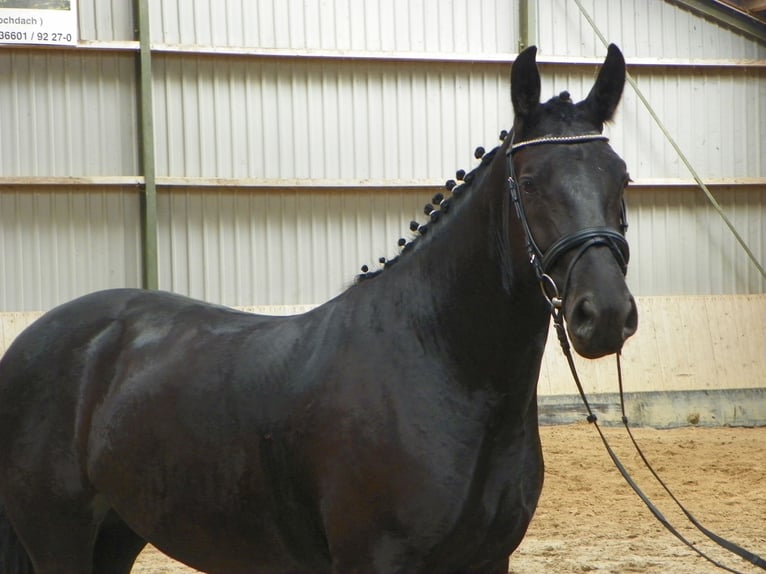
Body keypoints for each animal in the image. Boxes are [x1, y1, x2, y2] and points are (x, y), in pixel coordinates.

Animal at [0, 46, 636, 574]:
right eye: (529, 183)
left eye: (623, 178)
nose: (603, 314)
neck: (441, 367)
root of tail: (35, 341)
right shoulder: (374, 560)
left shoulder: (487, 561)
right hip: (58, 536)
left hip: (118, 532)